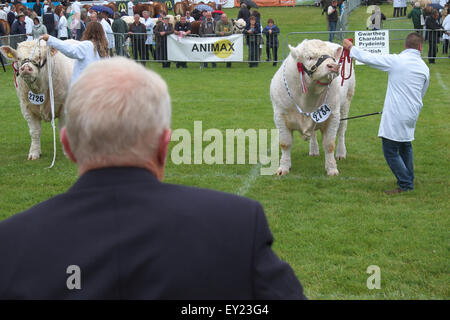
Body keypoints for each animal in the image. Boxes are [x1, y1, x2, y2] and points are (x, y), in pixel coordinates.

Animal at [268, 39, 356, 176]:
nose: (334, 66)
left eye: (332, 57)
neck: (308, 98)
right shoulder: (280, 116)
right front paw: (284, 168)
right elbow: (285, 143)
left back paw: (341, 153)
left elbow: (329, 144)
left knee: (341, 131)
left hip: (346, 103)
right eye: (309, 57)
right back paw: (314, 150)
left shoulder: (333, 116)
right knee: (313, 132)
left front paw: (332, 169)